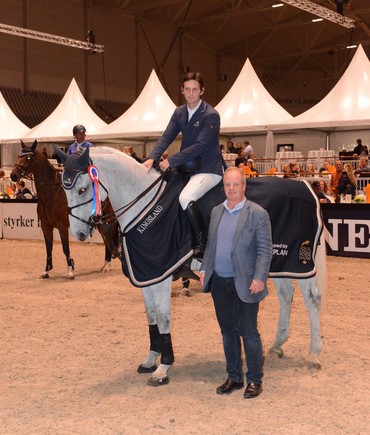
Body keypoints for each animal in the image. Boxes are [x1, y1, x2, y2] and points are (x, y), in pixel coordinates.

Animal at [10, 141, 119, 280]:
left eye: (29, 157)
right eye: (19, 155)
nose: (13, 175)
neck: (51, 193)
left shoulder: (62, 226)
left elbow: (65, 248)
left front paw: (70, 271)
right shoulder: (46, 226)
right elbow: (48, 248)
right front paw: (46, 271)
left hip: (109, 219)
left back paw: (107, 266)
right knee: (106, 240)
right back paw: (104, 265)